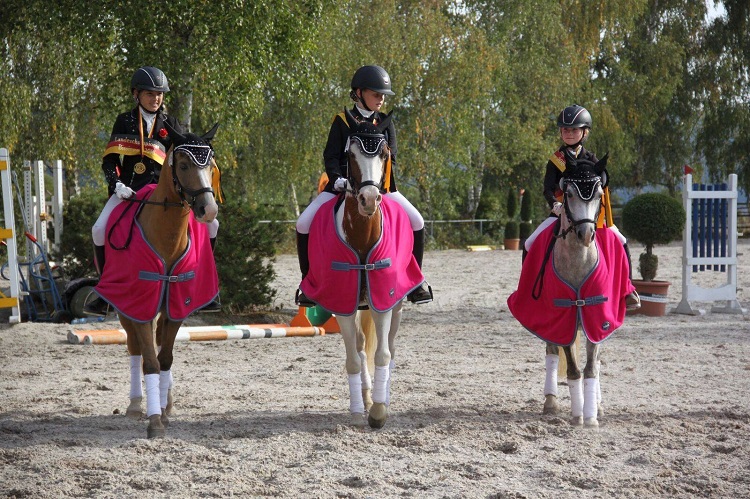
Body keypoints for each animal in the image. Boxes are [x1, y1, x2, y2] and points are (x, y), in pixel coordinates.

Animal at [94, 123, 220, 440]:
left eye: (210, 165)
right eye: (184, 165)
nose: (209, 211)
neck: (168, 237)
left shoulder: (176, 307)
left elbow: (165, 359)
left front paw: (163, 410)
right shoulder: (138, 302)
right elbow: (149, 360)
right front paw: (153, 420)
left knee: (161, 344)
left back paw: (167, 400)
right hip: (127, 307)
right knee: (135, 349)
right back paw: (136, 404)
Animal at [302, 110, 426, 430]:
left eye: (384, 153)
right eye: (350, 154)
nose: (369, 200)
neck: (361, 235)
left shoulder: (383, 301)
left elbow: (382, 354)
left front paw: (380, 411)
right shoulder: (342, 305)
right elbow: (354, 358)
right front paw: (360, 411)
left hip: (396, 304)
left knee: (390, 347)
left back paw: (383, 396)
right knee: (359, 346)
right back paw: (367, 395)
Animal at [512, 161, 636, 430]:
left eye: (599, 194)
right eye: (568, 194)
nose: (586, 234)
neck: (579, 261)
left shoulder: (597, 317)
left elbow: (591, 368)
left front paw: (591, 416)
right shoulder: (563, 318)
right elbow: (573, 370)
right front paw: (579, 415)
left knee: (596, 362)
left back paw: (598, 405)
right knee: (551, 353)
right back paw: (550, 402)